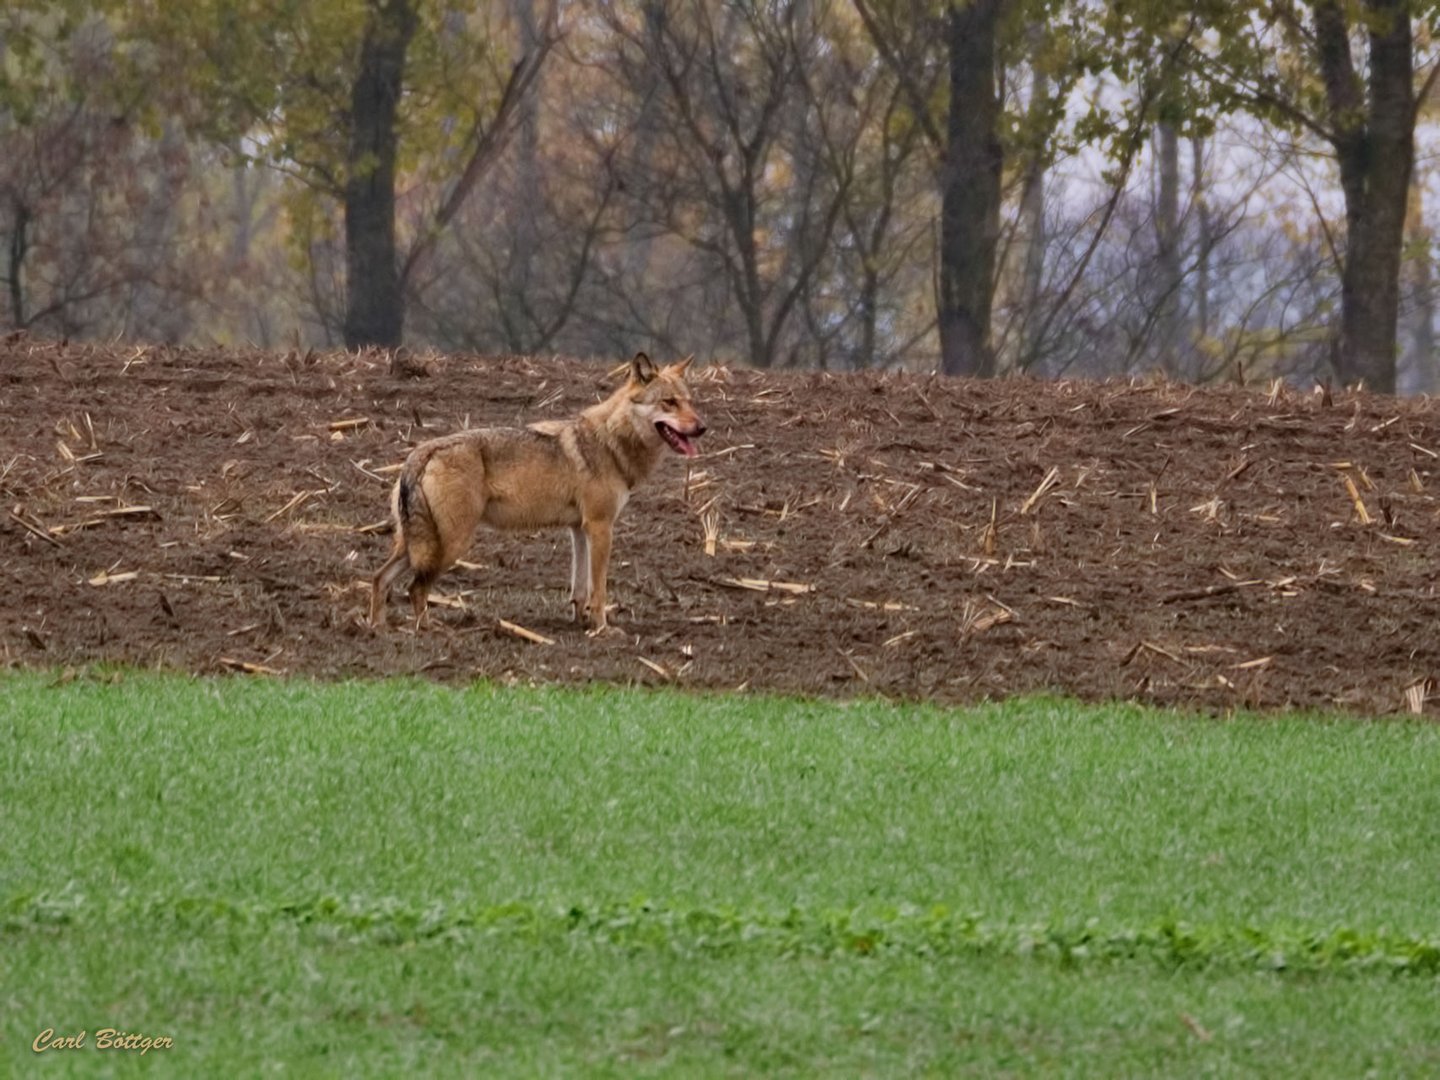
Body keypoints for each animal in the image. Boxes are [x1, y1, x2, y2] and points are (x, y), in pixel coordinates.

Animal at [368, 355, 705, 633]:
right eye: (669, 402)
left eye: (689, 402)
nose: (702, 428)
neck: (611, 443)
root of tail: (420, 454)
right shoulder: (600, 527)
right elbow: (599, 589)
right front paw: (602, 630)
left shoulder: (579, 529)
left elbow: (580, 588)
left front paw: (580, 622)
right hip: (450, 545)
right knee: (415, 589)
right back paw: (428, 630)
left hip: (416, 546)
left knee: (380, 578)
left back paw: (376, 630)